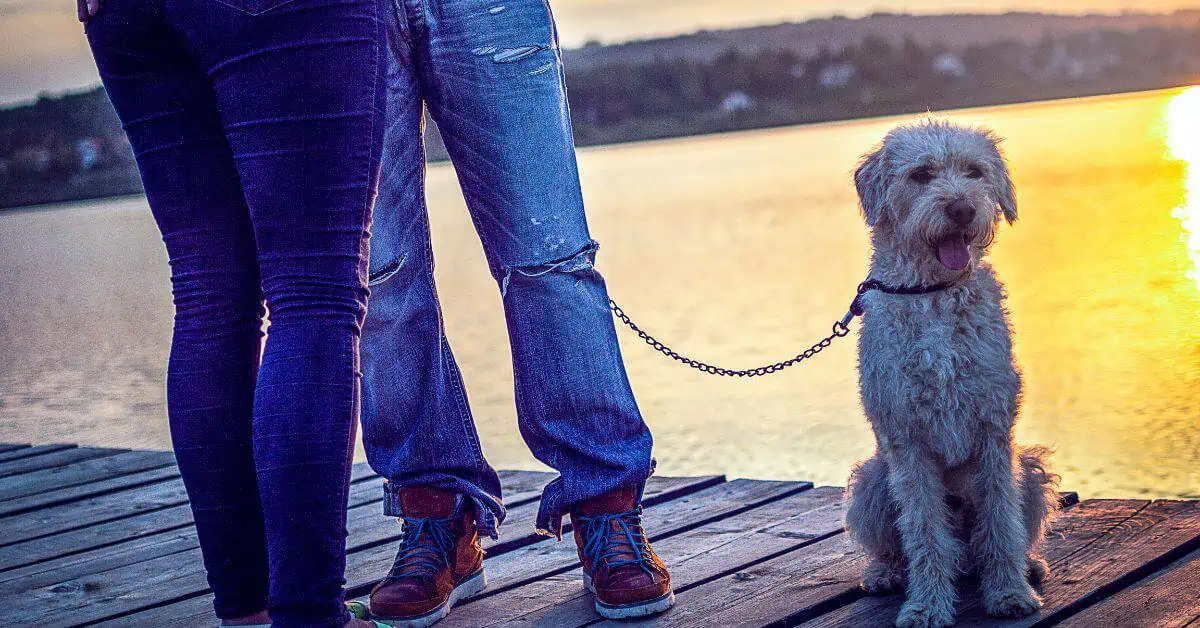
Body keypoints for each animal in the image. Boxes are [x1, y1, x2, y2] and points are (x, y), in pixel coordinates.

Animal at [844, 120, 1060, 624]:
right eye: (921, 175)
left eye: (975, 171)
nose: (962, 209)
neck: (933, 294)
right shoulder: (908, 443)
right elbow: (924, 532)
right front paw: (927, 606)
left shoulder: (993, 432)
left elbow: (1000, 524)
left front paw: (1009, 593)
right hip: (870, 481)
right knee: (896, 545)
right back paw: (885, 573)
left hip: (1030, 470)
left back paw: (1028, 565)